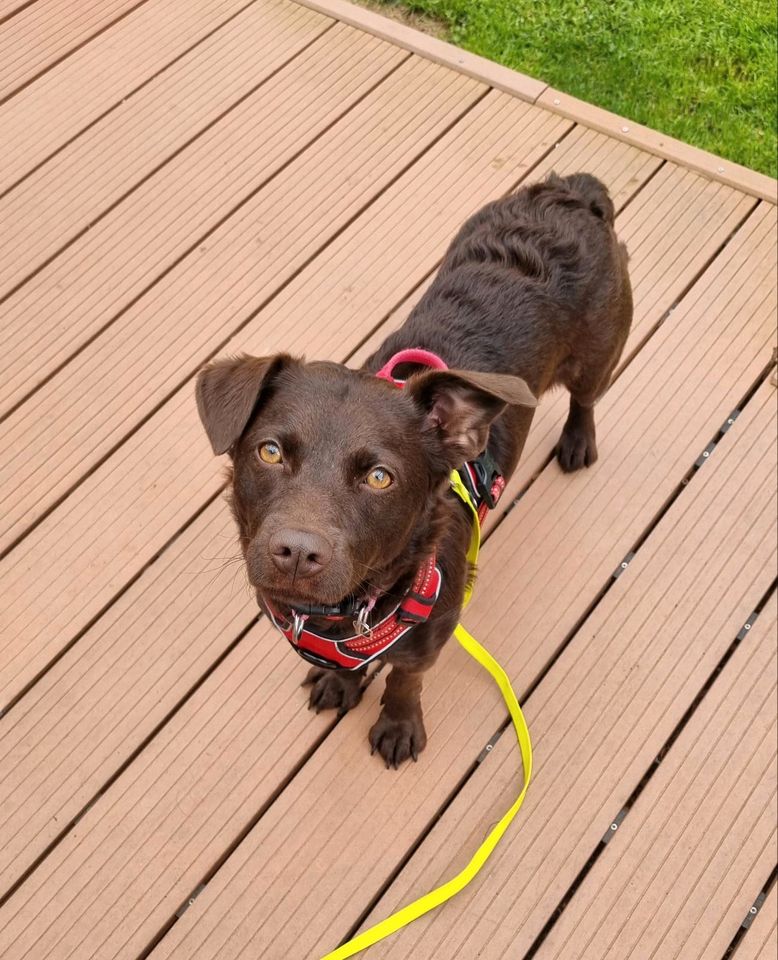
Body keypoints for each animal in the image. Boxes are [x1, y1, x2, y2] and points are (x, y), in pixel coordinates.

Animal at [194, 172, 632, 768]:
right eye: (270, 452)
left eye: (380, 477)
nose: (297, 553)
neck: (344, 615)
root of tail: (573, 192)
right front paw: (341, 684)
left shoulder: (432, 635)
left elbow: (405, 678)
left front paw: (399, 726)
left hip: (600, 353)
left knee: (587, 396)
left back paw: (578, 441)